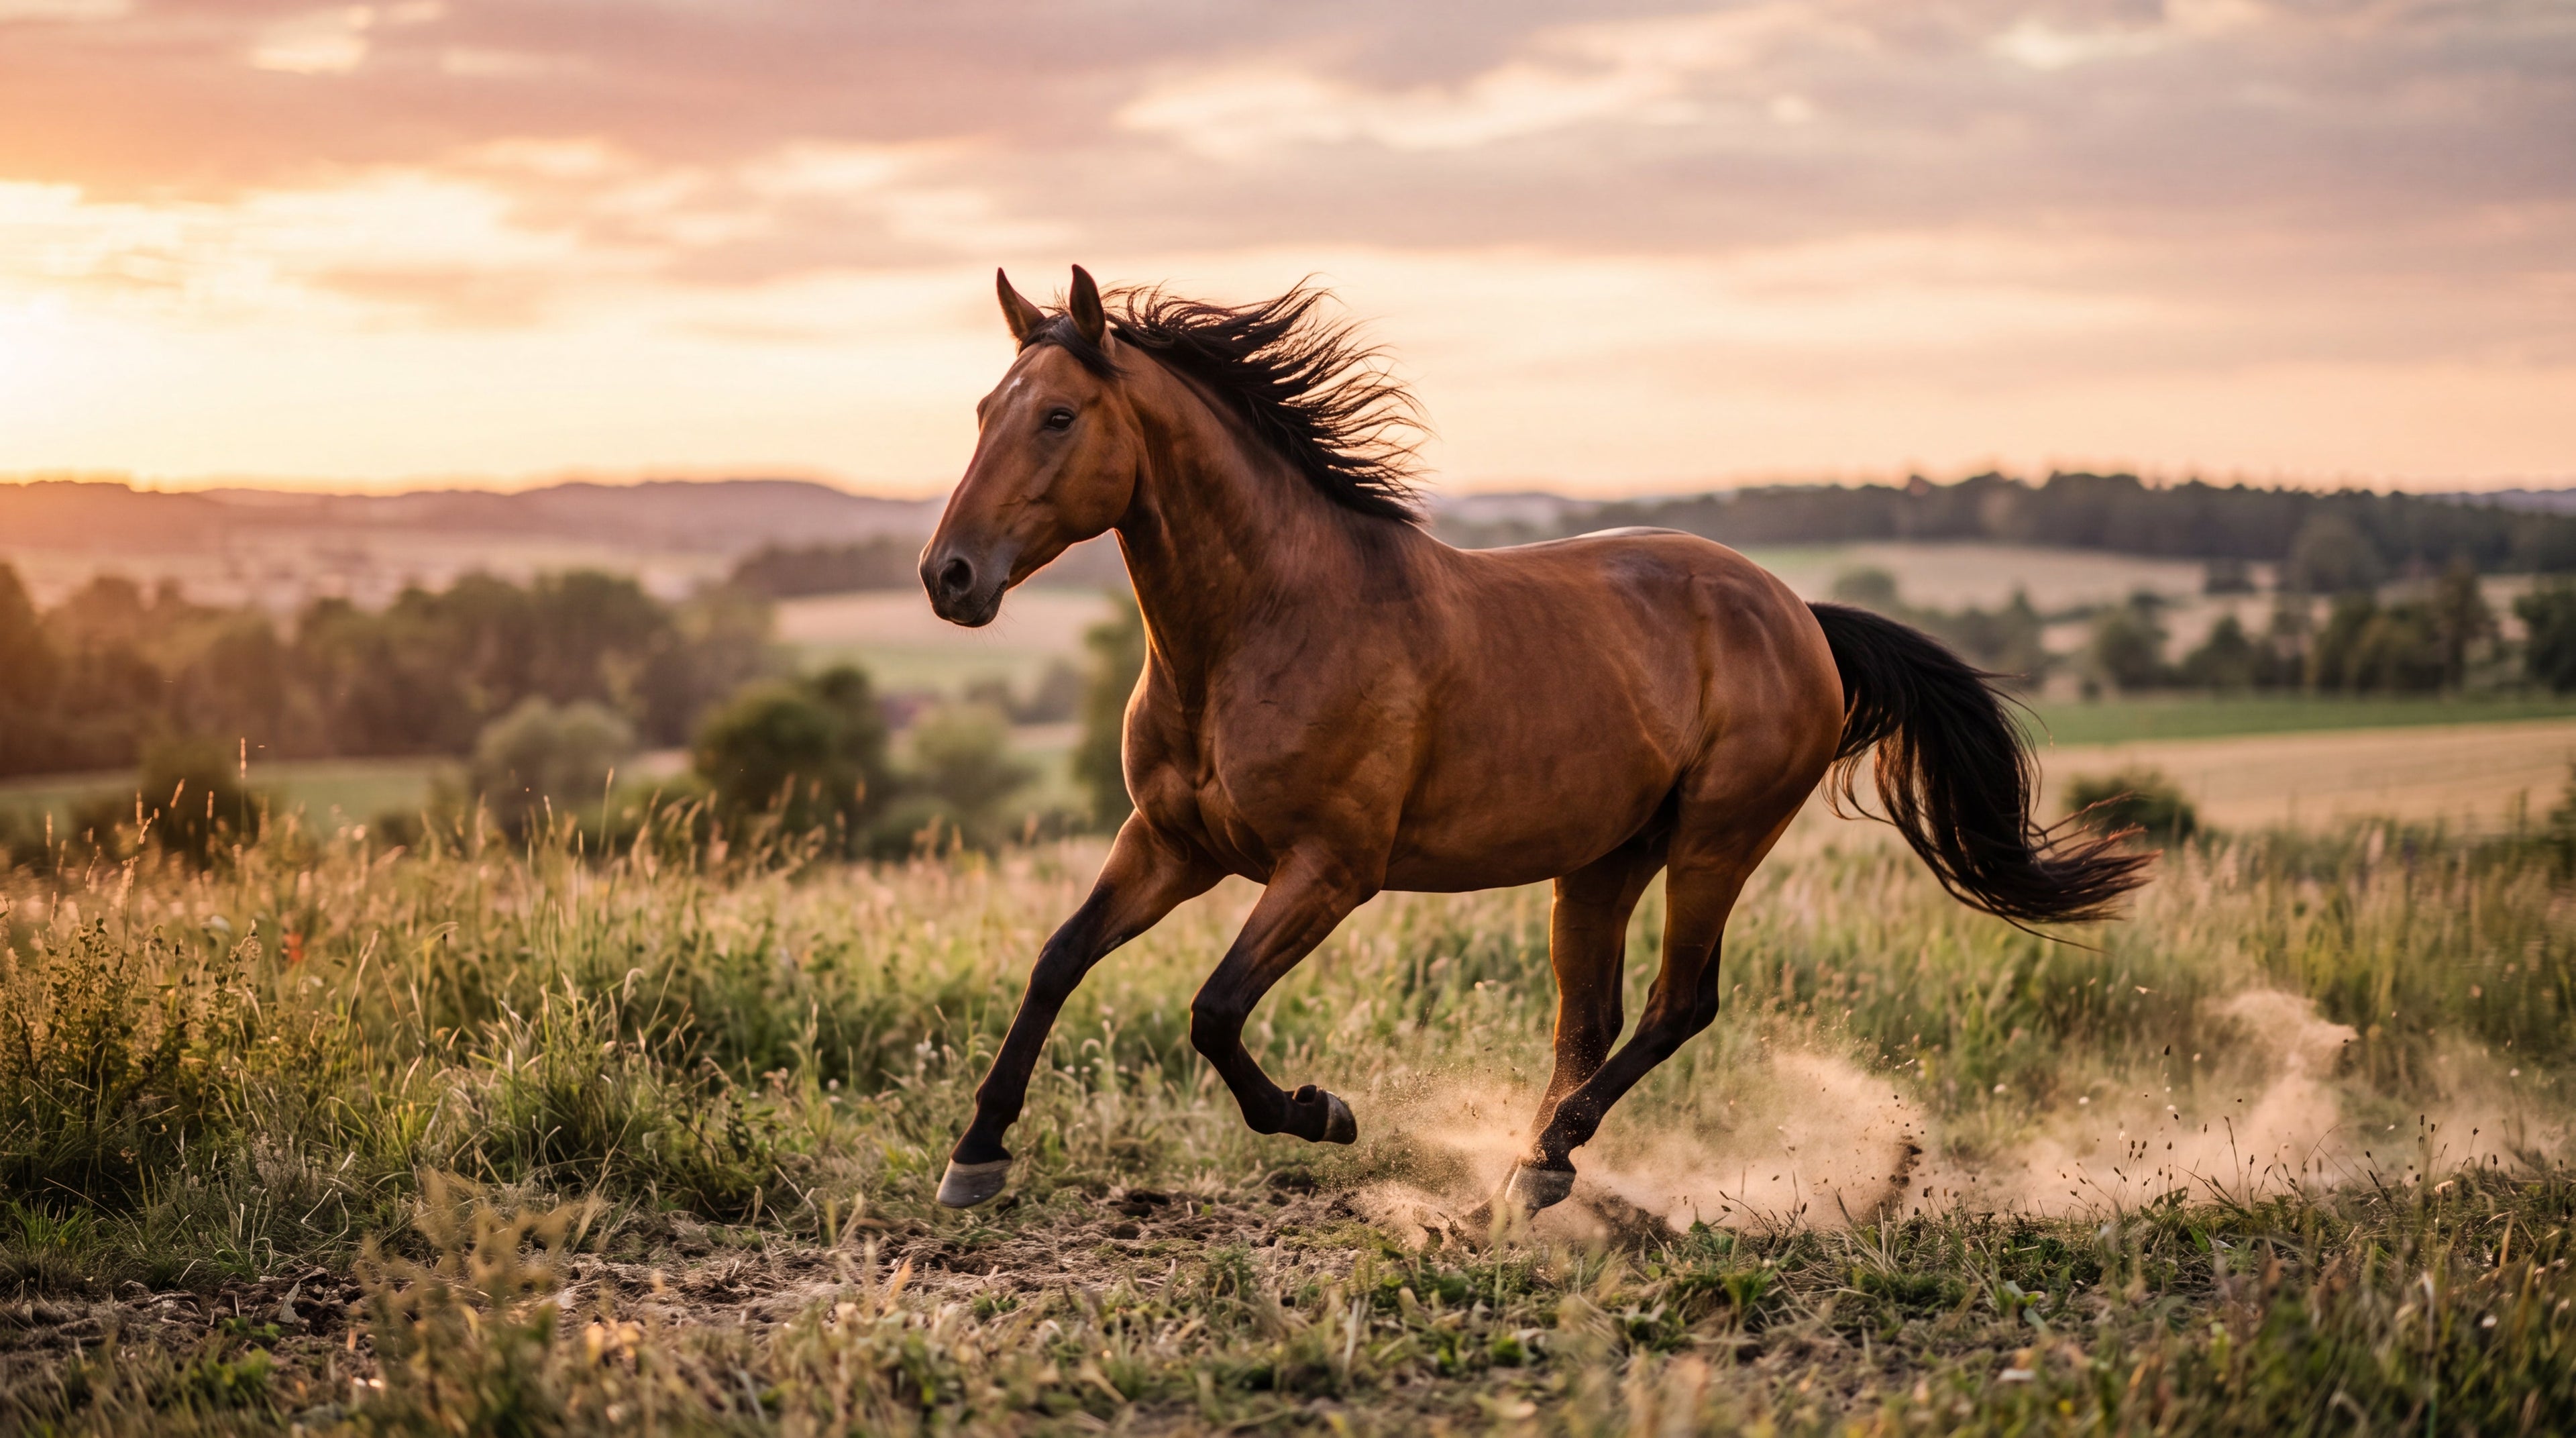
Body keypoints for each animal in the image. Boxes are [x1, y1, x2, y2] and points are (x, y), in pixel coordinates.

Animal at [917, 266, 2150, 1213]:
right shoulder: (1172, 844)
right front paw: (976, 1157)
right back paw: (1534, 1165)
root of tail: (1799, 613)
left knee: (1677, 1004)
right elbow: (1058, 958)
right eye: (979, 411)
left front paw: (1325, 1112)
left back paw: (1541, 1161)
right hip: (1606, 858)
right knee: (1589, 1017)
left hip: (1717, 839)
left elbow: (1213, 1010)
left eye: (1060, 417)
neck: (1260, 628)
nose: (949, 577)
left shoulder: (1329, 869)